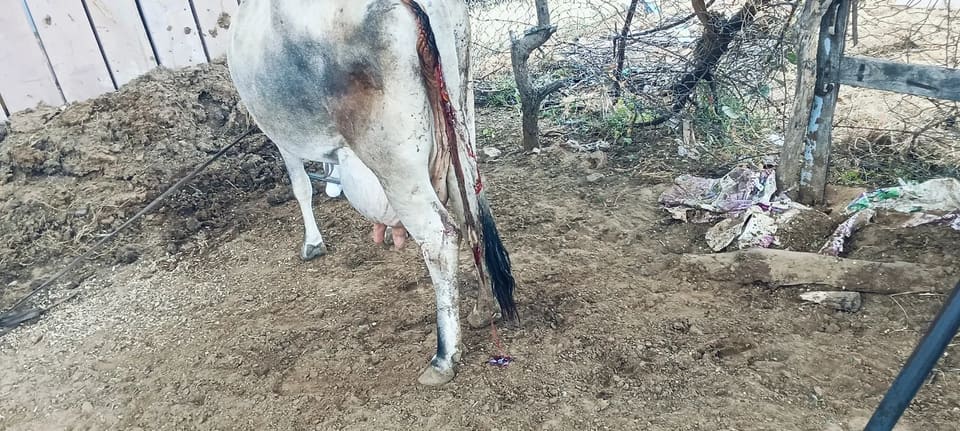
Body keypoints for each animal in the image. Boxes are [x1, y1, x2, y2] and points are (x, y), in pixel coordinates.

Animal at [227, 0, 518, 385]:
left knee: (440, 236)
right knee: (472, 215)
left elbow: (300, 187)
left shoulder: (282, 137)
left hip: (394, 157)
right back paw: (485, 309)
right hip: (459, 121)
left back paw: (444, 356)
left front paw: (312, 243)